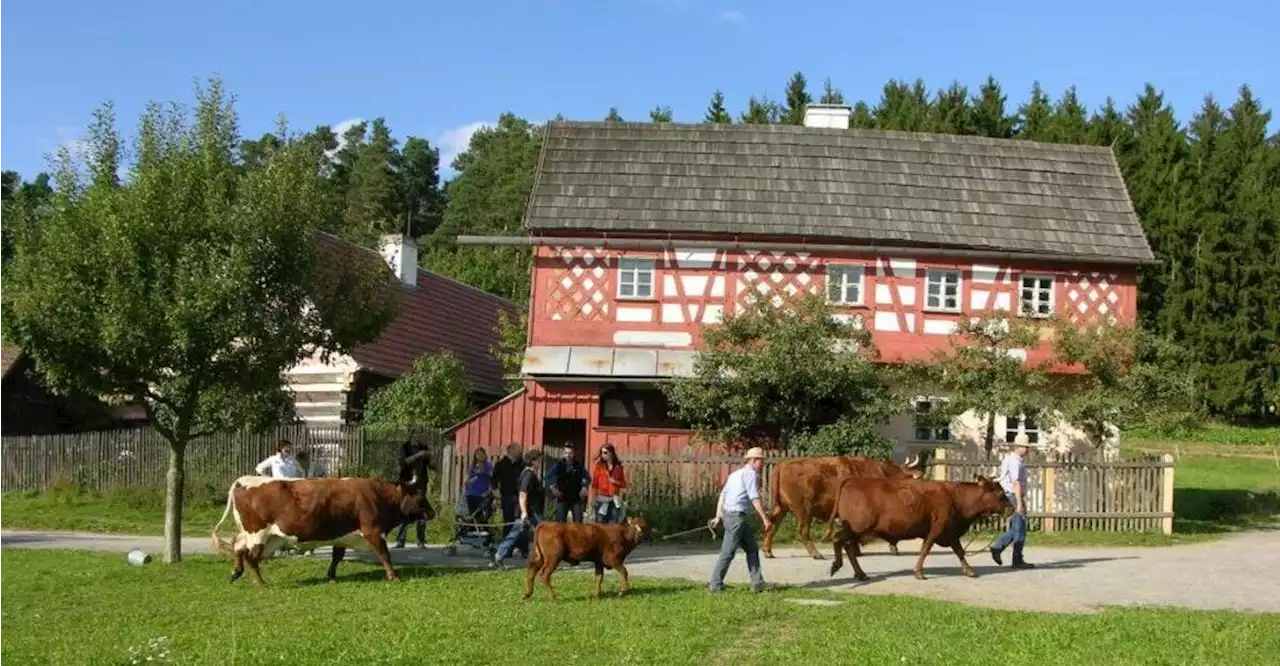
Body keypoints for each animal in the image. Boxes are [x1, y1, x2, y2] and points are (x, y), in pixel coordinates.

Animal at [207, 463, 432, 584]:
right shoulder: (373, 531)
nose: (433, 512)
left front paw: (331, 576)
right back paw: (260, 582)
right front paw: (393, 576)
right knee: (251, 557)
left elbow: (337, 557)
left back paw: (236, 573)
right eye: (420, 497)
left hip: (254, 534)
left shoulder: (342, 536)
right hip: (258, 533)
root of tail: (242, 480)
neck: (377, 495)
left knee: (238, 547)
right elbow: (385, 554)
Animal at [524, 512, 655, 601]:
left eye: (644, 526)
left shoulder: (599, 561)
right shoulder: (612, 559)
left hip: (540, 557)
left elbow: (599, 577)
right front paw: (623, 591)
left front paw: (597, 595)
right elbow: (624, 572)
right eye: (634, 525)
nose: (640, 535)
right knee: (544, 574)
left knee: (532, 571)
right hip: (553, 558)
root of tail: (546, 524)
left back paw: (527, 594)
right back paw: (553, 597)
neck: (622, 535)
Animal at [757, 455, 931, 558]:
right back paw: (816, 553)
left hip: (781, 507)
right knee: (802, 531)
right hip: (803, 510)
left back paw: (768, 551)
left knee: (772, 526)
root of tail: (783, 463)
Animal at [824, 473, 1013, 584]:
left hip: (857, 530)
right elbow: (926, 548)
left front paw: (968, 570)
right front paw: (919, 572)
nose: (1012, 508)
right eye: (1001, 494)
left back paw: (860, 573)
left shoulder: (949, 532)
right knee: (839, 539)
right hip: (858, 527)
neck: (955, 497)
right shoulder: (937, 528)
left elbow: (959, 550)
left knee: (847, 546)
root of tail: (853, 480)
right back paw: (837, 565)